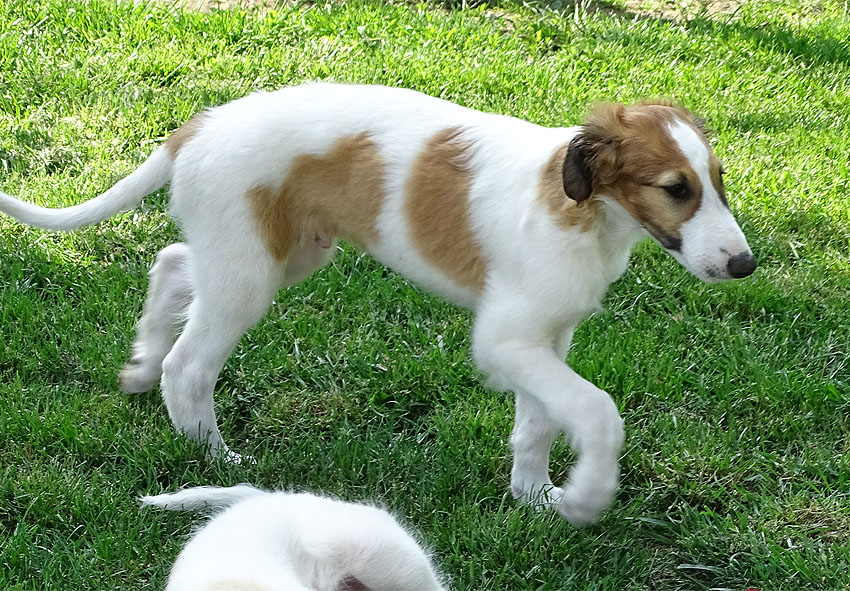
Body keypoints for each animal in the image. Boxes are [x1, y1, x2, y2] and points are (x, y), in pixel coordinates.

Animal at [0, 83, 756, 525]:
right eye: (676, 189)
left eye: (719, 181)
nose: (744, 265)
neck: (583, 210)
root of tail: (196, 128)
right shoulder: (506, 340)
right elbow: (598, 410)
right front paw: (588, 496)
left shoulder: (545, 337)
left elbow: (541, 422)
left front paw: (534, 496)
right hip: (251, 270)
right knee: (188, 365)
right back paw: (216, 458)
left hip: (276, 252)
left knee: (174, 262)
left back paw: (139, 362)